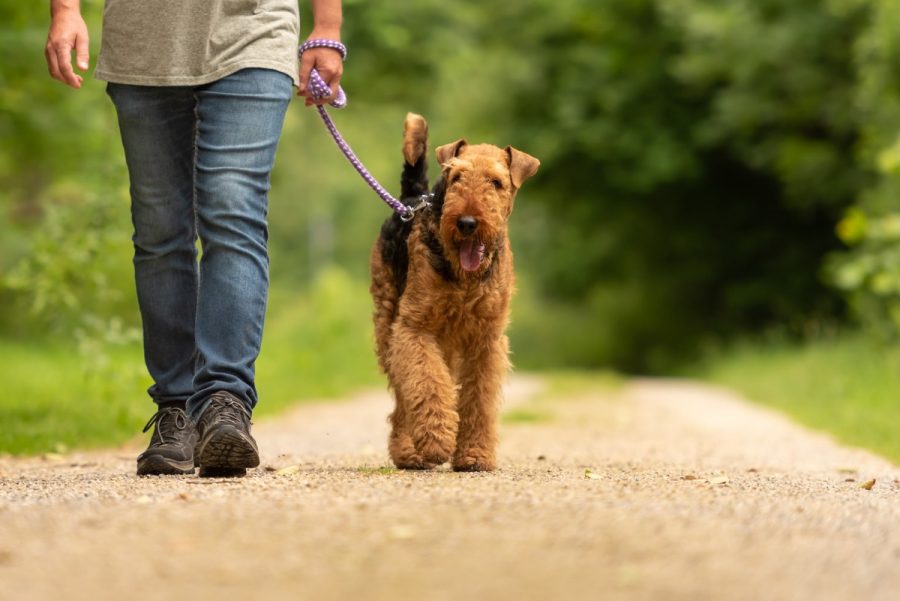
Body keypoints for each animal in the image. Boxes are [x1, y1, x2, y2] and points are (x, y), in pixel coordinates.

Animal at [368, 111, 536, 468]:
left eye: (496, 182)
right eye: (457, 177)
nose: (467, 223)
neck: (465, 278)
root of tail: (412, 198)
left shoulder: (486, 338)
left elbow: (478, 399)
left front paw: (474, 455)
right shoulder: (414, 327)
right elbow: (427, 383)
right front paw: (436, 440)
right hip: (390, 323)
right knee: (403, 393)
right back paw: (408, 451)